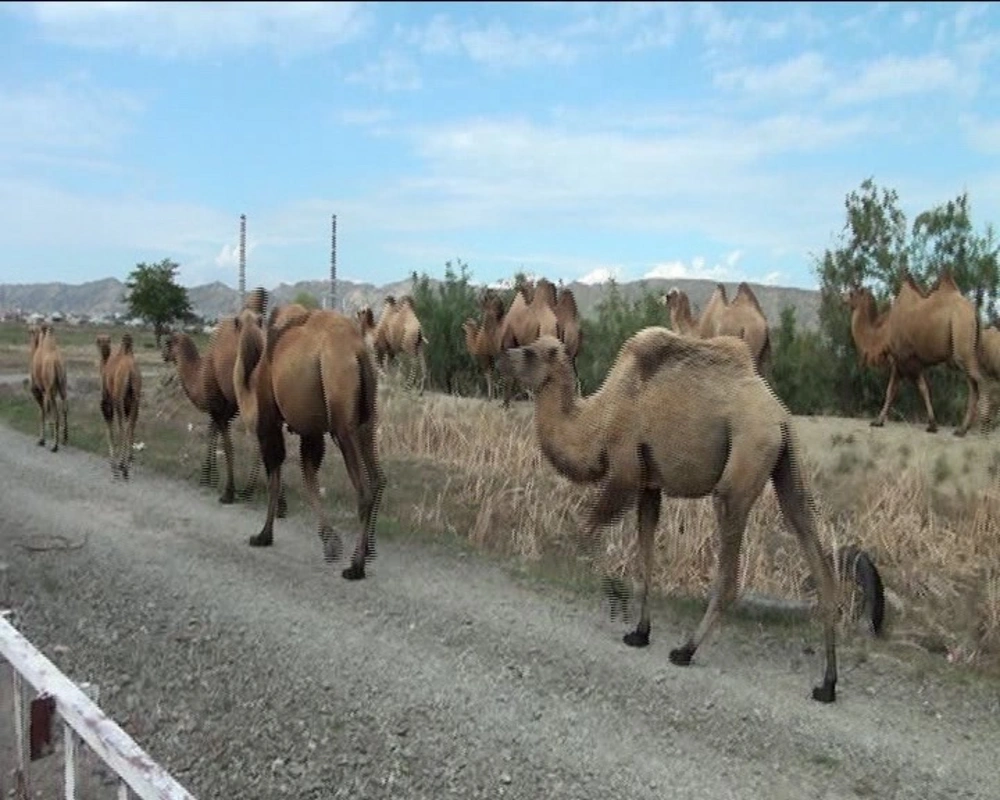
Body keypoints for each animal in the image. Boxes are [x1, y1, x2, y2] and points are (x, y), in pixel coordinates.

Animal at [96, 332, 143, 478]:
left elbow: (109, 423)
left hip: (119, 398)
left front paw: (112, 462)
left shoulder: (107, 399)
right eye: (100, 340)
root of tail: (131, 372)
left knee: (123, 426)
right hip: (136, 400)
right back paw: (128, 461)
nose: (104, 344)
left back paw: (122, 465)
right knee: (131, 425)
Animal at [249, 308, 386, 580]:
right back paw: (366, 551)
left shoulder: (270, 416)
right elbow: (309, 476)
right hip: (367, 420)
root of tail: (358, 352)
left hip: (342, 423)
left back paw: (356, 567)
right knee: (378, 479)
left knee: (363, 490)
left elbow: (276, 474)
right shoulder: (311, 429)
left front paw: (264, 535)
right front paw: (330, 542)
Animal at [496, 328, 840, 704]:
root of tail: (781, 416)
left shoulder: (625, 472)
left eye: (530, 352)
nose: (501, 357)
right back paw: (827, 684)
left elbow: (589, 531)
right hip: (788, 468)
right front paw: (640, 632)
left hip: (742, 465)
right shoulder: (649, 485)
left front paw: (616, 598)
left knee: (730, 569)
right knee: (813, 546)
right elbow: (645, 554)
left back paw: (686, 650)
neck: (597, 420)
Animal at [844, 274, 984, 438]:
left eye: (852, 293)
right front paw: (879, 421)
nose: (842, 297)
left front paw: (931, 425)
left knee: (976, 383)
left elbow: (912, 389)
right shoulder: (903, 363)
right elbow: (899, 390)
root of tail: (974, 313)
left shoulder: (905, 359)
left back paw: (966, 428)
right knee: (975, 383)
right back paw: (964, 428)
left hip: (962, 344)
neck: (884, 333)